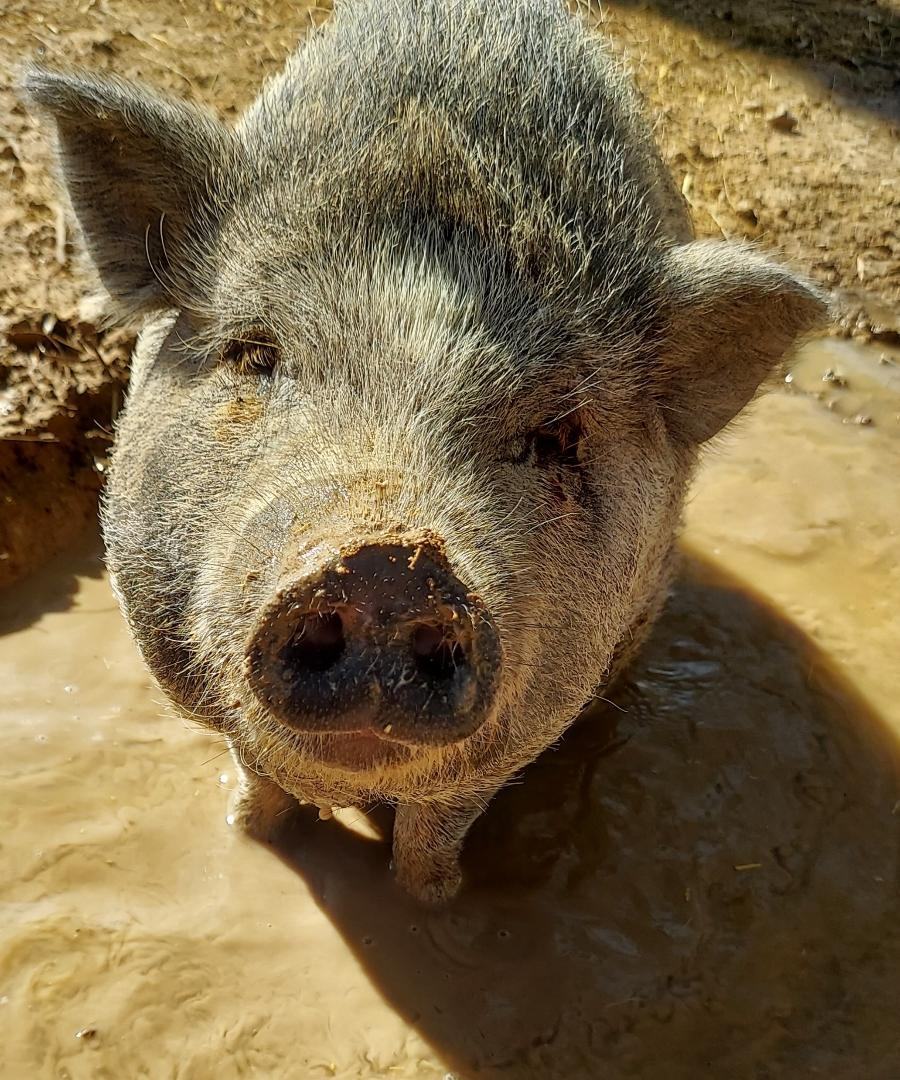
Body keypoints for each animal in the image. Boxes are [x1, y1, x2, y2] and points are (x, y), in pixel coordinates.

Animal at [24, 0, 827, 904]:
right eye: (257, 355)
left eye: (555, 435)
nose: (387, 565)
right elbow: (260, 781)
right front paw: (247, 840)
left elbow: (435, 829)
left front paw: (436, 903)